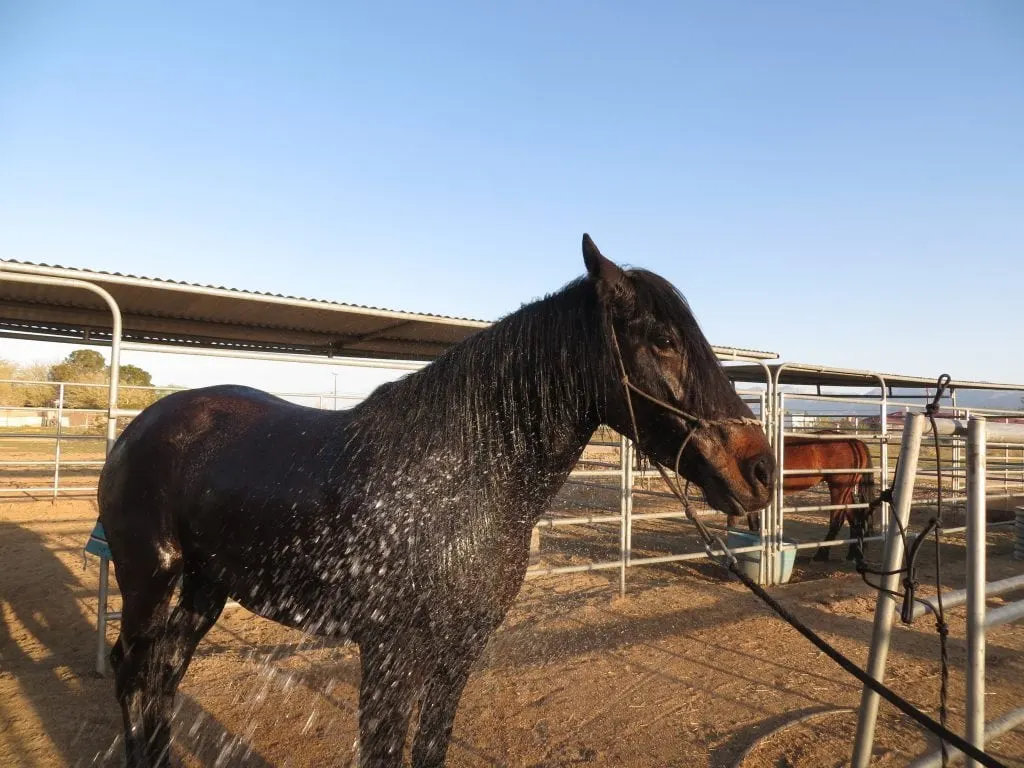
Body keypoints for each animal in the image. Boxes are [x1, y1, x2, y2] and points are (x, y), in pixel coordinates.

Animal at [101, 236, 774, 768]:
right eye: (663, 339)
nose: (760, 470)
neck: (453, 485)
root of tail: (140, 426)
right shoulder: (389, 653)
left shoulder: (458, 651)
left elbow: (430, 748)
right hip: (150, 579)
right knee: (133, 673)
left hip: (205, 585)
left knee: (163, 675)